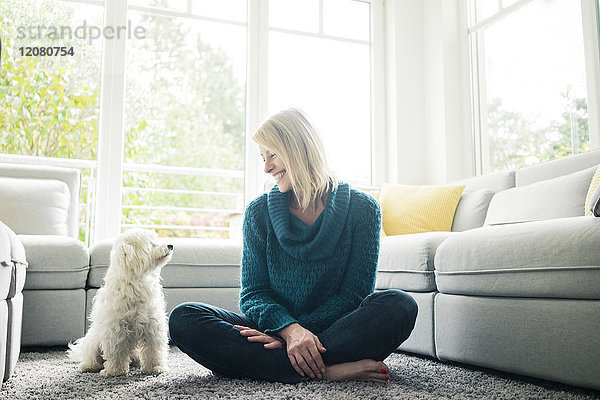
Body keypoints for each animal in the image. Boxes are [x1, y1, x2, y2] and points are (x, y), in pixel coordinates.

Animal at [70, 228, 175, 376]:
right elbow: (116, 351)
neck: (136, 281)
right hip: (94, 341)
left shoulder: (153, 325)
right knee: (91, 356)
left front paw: (155, 368)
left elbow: (153, 349)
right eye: (151, 243)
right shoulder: (115, 329)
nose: (170, 245)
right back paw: (89, 366)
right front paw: (115, 371)